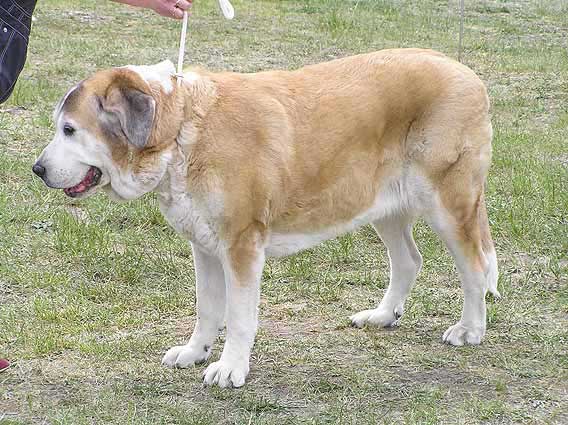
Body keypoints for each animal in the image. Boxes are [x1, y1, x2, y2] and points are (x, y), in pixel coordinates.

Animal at [34, 49, 496, 388]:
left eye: (70, 130)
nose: (37, 169)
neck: (182, 130)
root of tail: (467, 74)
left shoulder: (241, 245)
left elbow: (239, 317)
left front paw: (229, 367)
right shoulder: (204, 245)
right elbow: (207, 308)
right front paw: (195, 351)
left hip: (449, 205)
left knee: (474, 267)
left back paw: (470, 330)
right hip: (382, 206)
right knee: (408, 261)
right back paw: (382, 316)